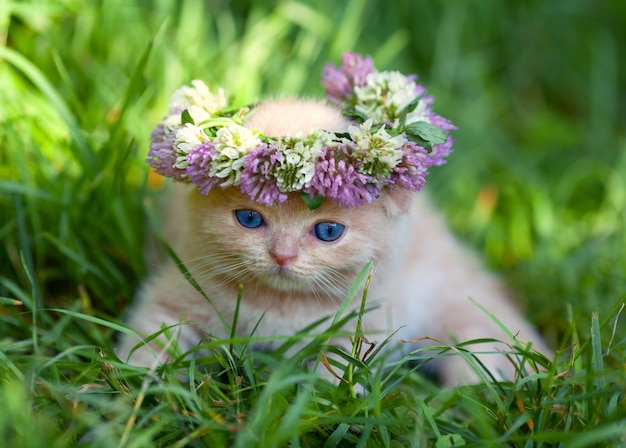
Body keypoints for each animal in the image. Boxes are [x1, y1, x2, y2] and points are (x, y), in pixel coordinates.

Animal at [119, 98, 548, 384]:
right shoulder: (175, 291)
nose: (282, 255)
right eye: (249, 218)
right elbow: (148, 344)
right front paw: (133, 397)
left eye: (328, 232)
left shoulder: (360, 327)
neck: (280, 305)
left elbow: (333, 379)